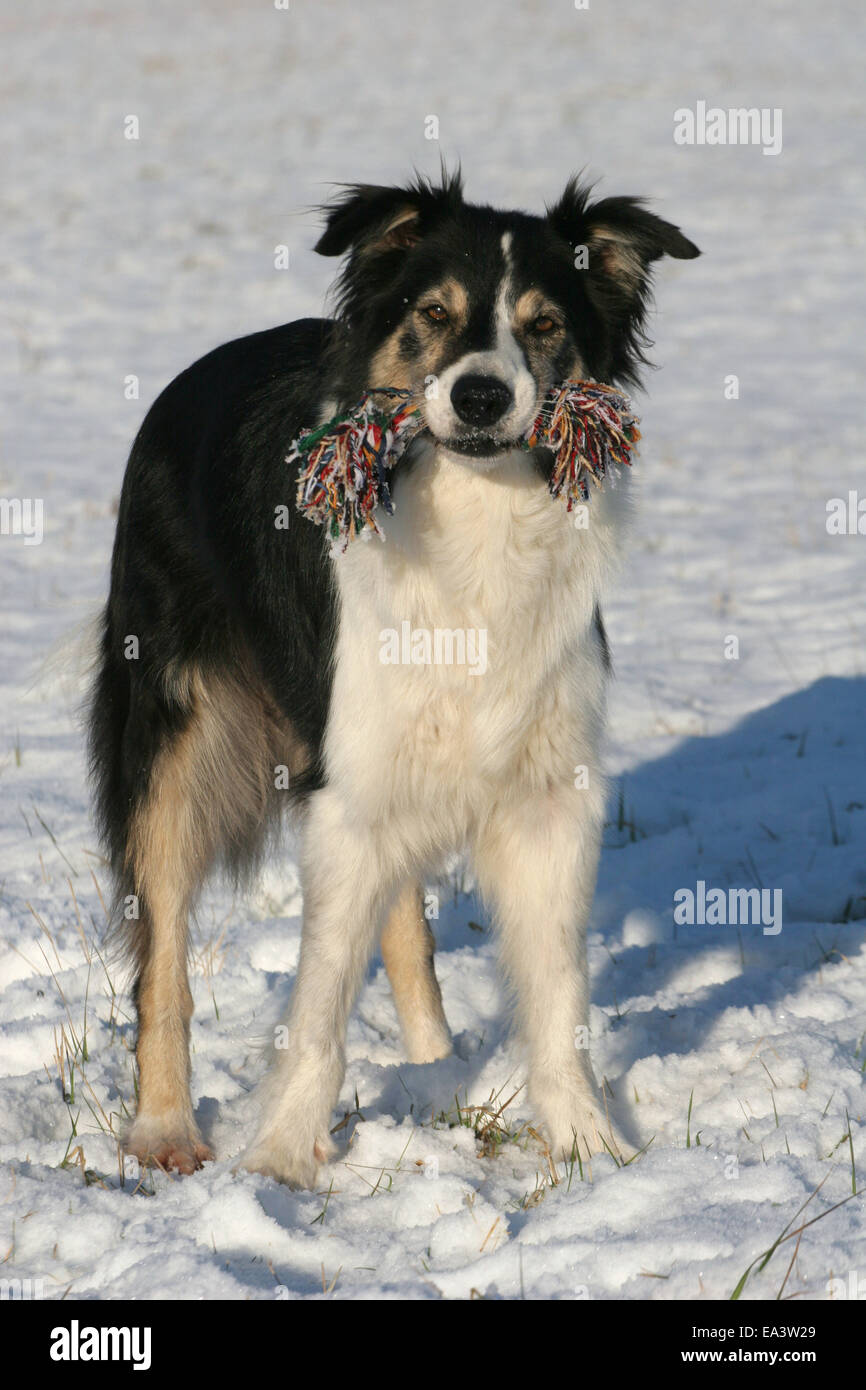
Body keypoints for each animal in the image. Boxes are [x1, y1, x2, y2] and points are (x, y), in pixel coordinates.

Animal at [89, 170, 697, 1184]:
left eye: (543, 324)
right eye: (433, 313)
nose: (482, 396)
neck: (479, 518)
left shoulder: (547, 791)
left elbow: (557, 990)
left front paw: (587, 1144)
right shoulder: (348, 788)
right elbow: (320, 995)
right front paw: (282, 1162)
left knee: (406, 929)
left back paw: (436, 1070)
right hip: (176, 728)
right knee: (164, 945)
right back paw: (166, 1128)